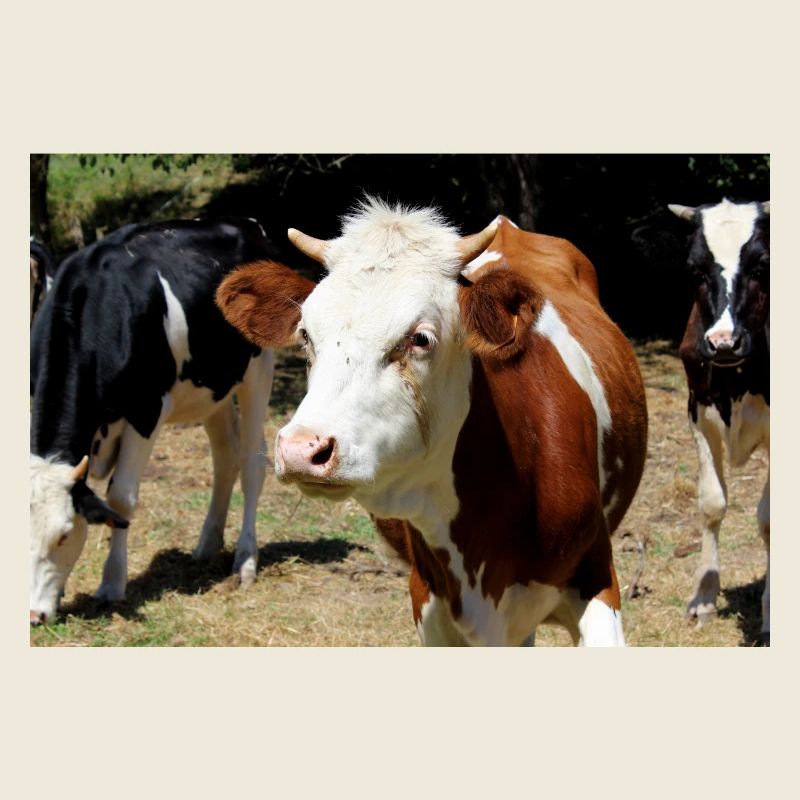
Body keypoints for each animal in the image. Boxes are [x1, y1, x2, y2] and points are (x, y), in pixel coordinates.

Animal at [30, 218, 278, 626]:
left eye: (64, 535)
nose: (33, 615)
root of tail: (245, 224)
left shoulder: (146, 411)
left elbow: (121, 498)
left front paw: (112, 584)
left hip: (258, 368)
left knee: (252, 462)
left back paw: (245, 561)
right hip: (212, 387)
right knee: (224, 456)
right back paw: (207, 545)